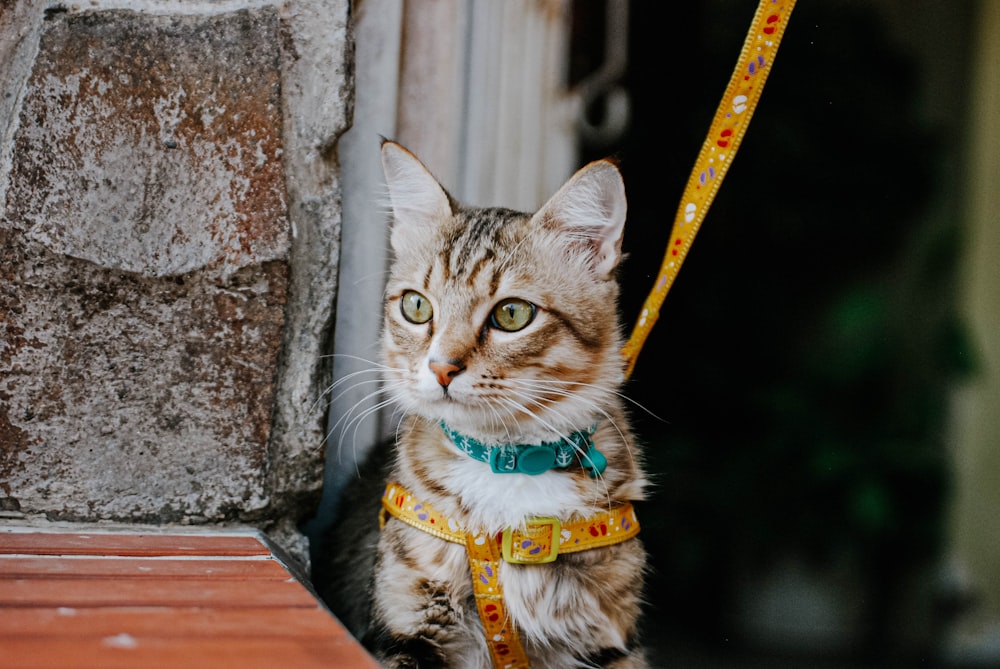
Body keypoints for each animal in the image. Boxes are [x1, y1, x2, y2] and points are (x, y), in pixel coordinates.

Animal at [316, 138, 652, 664]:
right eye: (416, 306)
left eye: (512, 314)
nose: (441, 368)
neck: (508, 463)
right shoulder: (407, 622)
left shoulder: (609, 640)